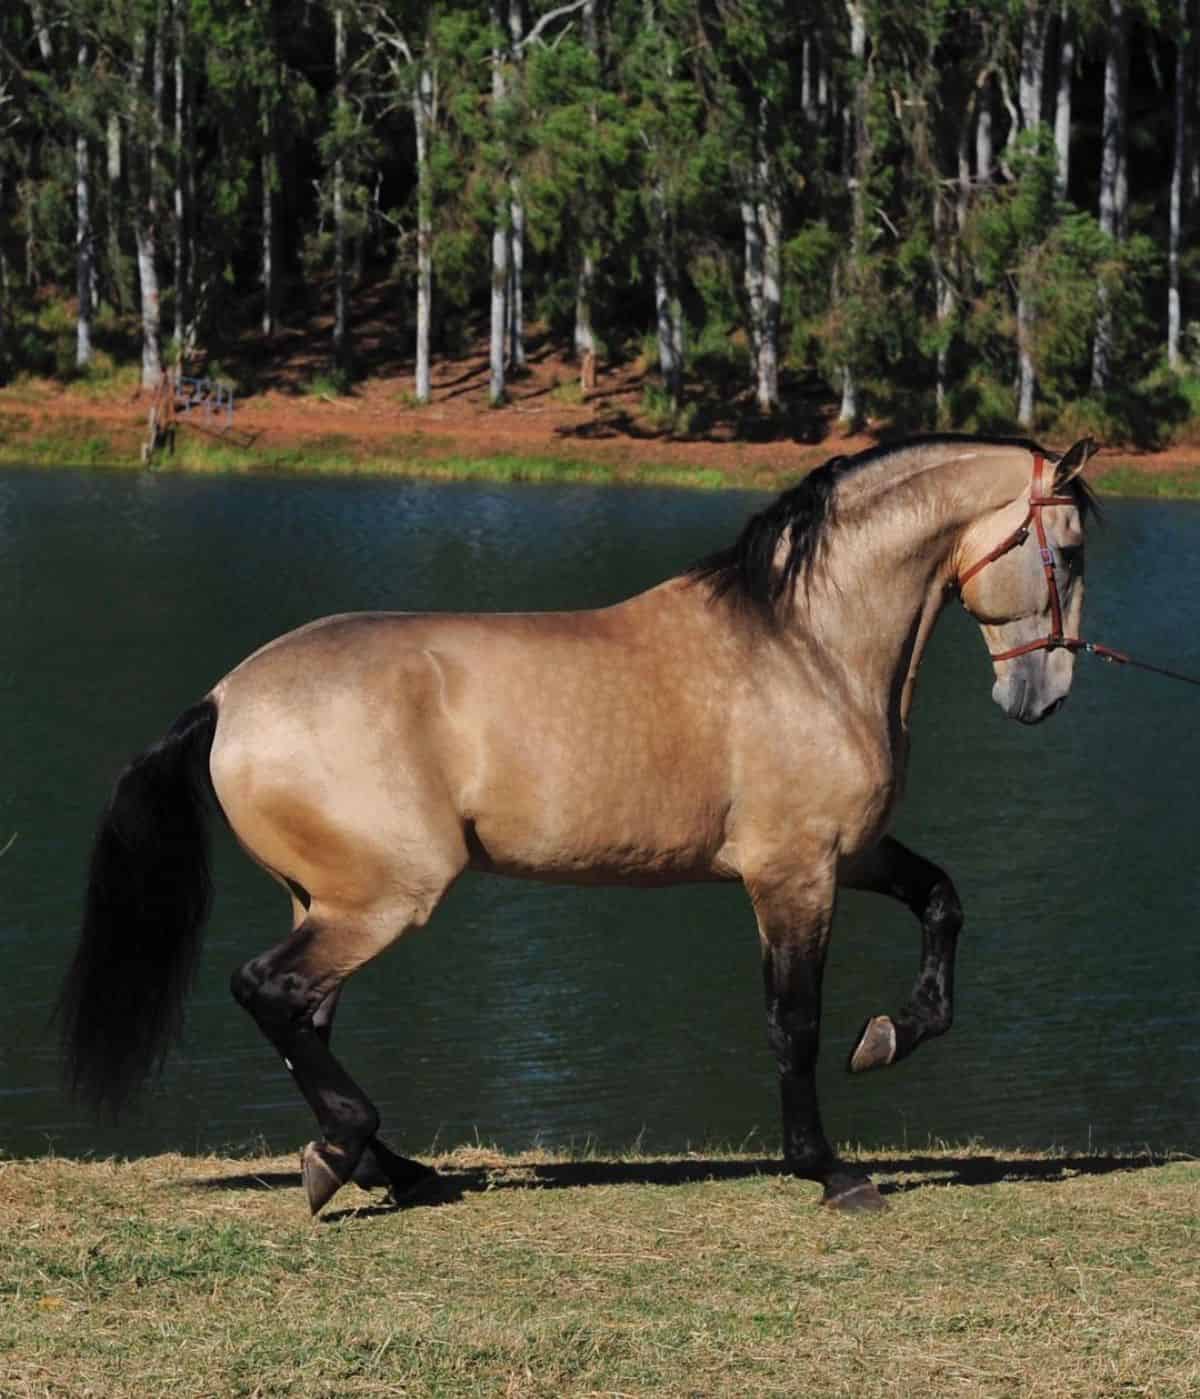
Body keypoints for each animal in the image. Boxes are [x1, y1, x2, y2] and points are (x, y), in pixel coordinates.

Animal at [58, 433, 1096, 1214]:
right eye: (1074, 546)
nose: (1042, 696)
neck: (805, 647)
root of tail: (226, 698)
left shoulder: (852, 852)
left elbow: (943, 902)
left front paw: (891, 1035)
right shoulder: (791, 870)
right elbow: (792, 1020)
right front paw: (831, 1170)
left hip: (326, 896)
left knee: (300, 1014)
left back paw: (383, 1168)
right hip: (382, 897)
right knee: (269, 992)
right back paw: (355, 1152)